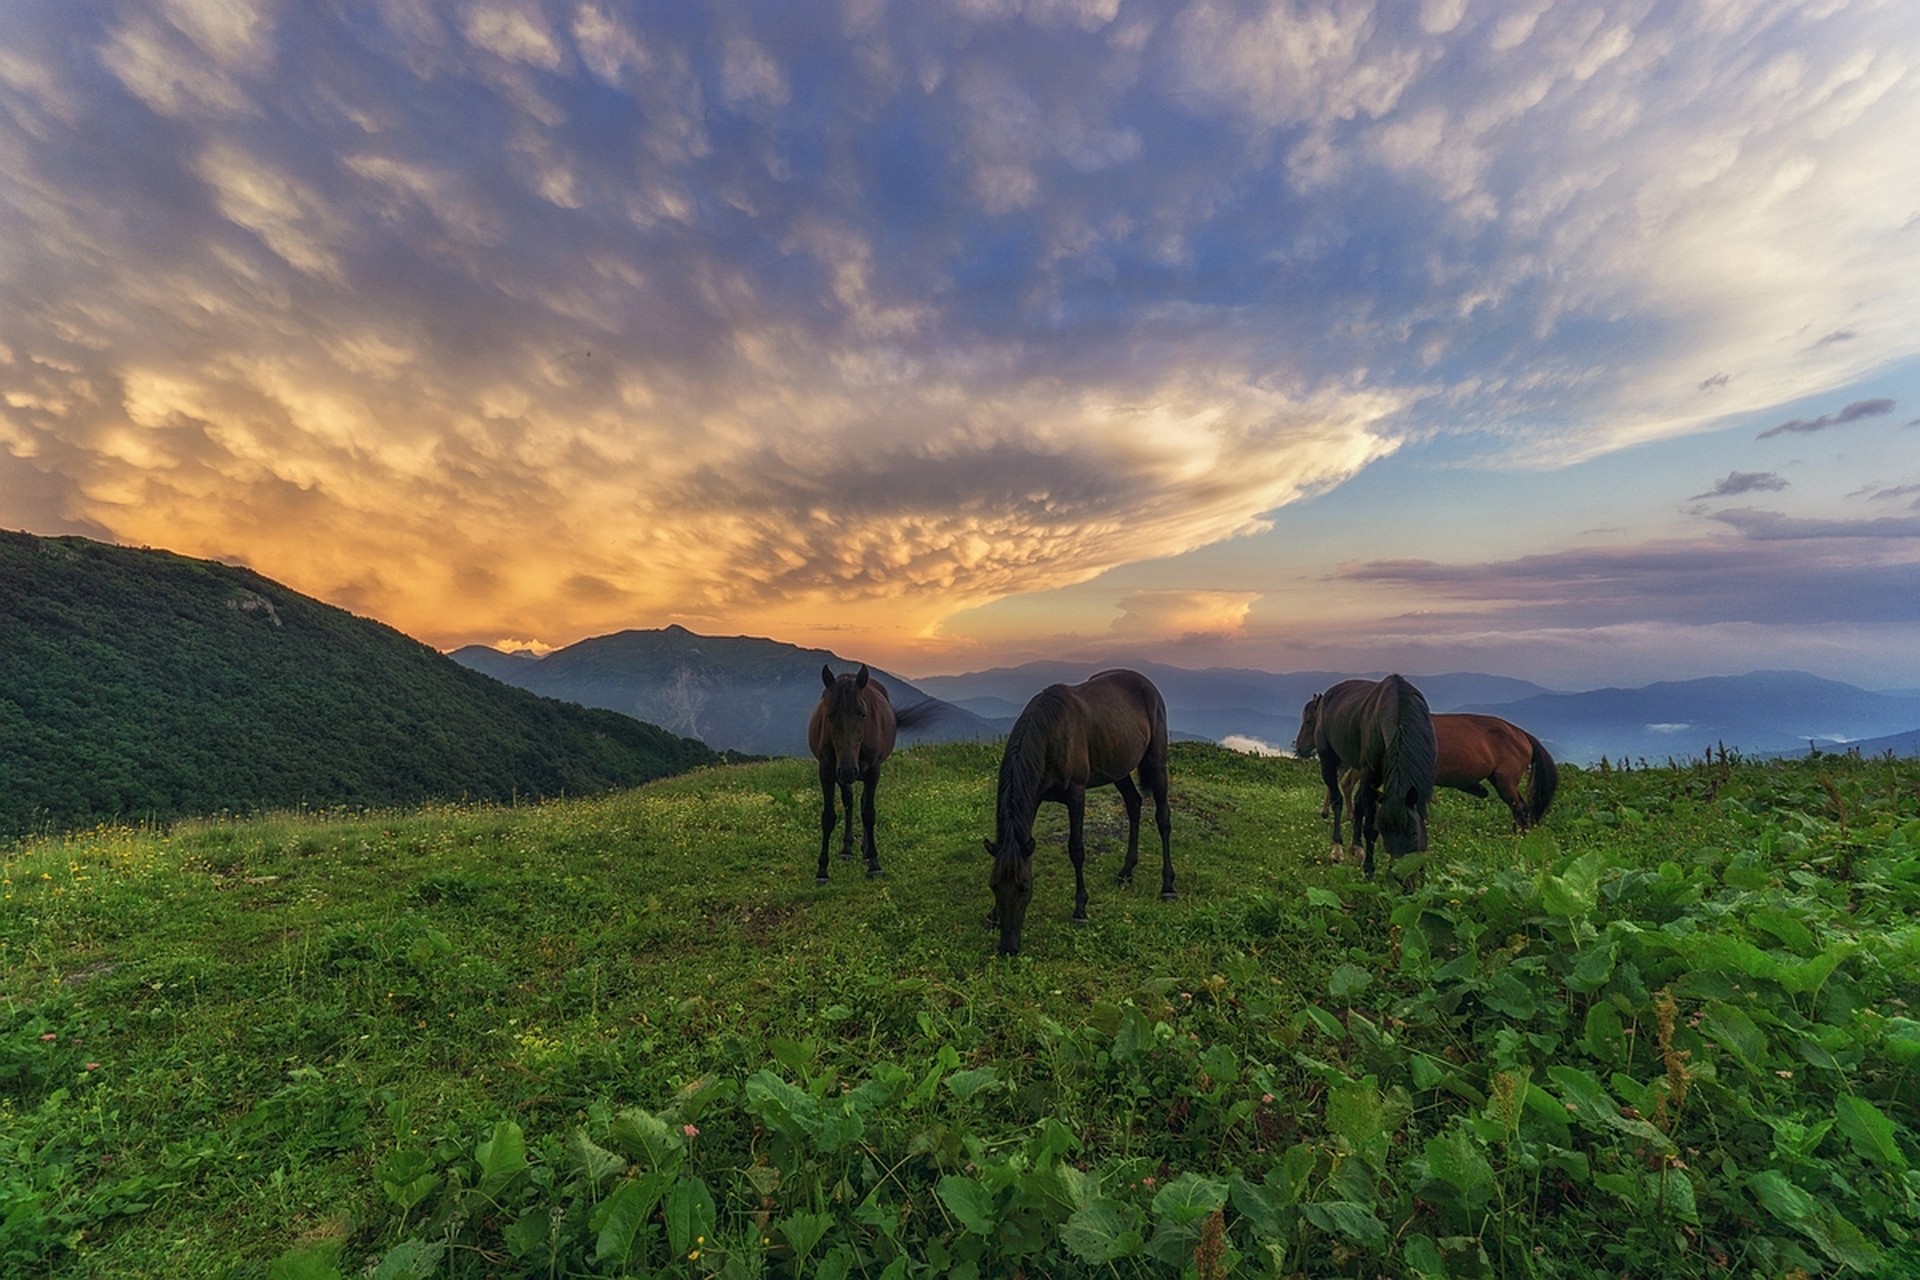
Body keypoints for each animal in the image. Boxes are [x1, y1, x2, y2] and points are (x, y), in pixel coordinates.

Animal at [802, 667, 936, 886]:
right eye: (830, 715)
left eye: (862, 714)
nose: (849, 770)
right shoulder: (827, 772)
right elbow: (829, 817)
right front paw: (822, 869)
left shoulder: (873, 771)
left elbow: (869, 813)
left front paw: (874, 863)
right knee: (849, 801)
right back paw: (847, 849)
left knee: (863, 802)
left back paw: (864, 850)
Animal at [983, 671, 1175, 951]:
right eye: (994, 885)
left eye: (1024, 887)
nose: (1008, 947)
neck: (1051, 734)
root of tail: (1146, 683)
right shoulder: (1035, 797)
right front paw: (993, 916)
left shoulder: (1076, 793)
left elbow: (1076, 849)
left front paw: (1080, 909)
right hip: (1118, 768)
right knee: (1134, 804)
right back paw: (1126, 872)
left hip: (1156, 762)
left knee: (1163, 818)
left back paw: (1168, 886)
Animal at [1297, 675, 1436, 875]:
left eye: (1414, 834)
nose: (1299, 748)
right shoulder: (1370, 773)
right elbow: (1369, 822)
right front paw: (1368, 869)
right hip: (1329, 759)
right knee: (1338, 798)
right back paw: (1337, 849)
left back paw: (1356, 847)